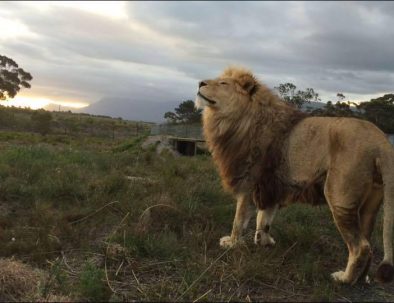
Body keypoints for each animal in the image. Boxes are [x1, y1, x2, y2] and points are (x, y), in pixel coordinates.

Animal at [195, 66, 394, 284]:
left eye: (223, 84)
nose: (200, 83)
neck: (237, 119)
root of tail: (381, 141)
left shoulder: (250, 181)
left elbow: (239, 219)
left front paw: (231, 243)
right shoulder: (271, 184)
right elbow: (264, 218)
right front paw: (263, 241)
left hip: (340, 197)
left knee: (361, 247)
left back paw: (344, 279)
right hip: (370, 204)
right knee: (368, 243)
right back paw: (362, 279)